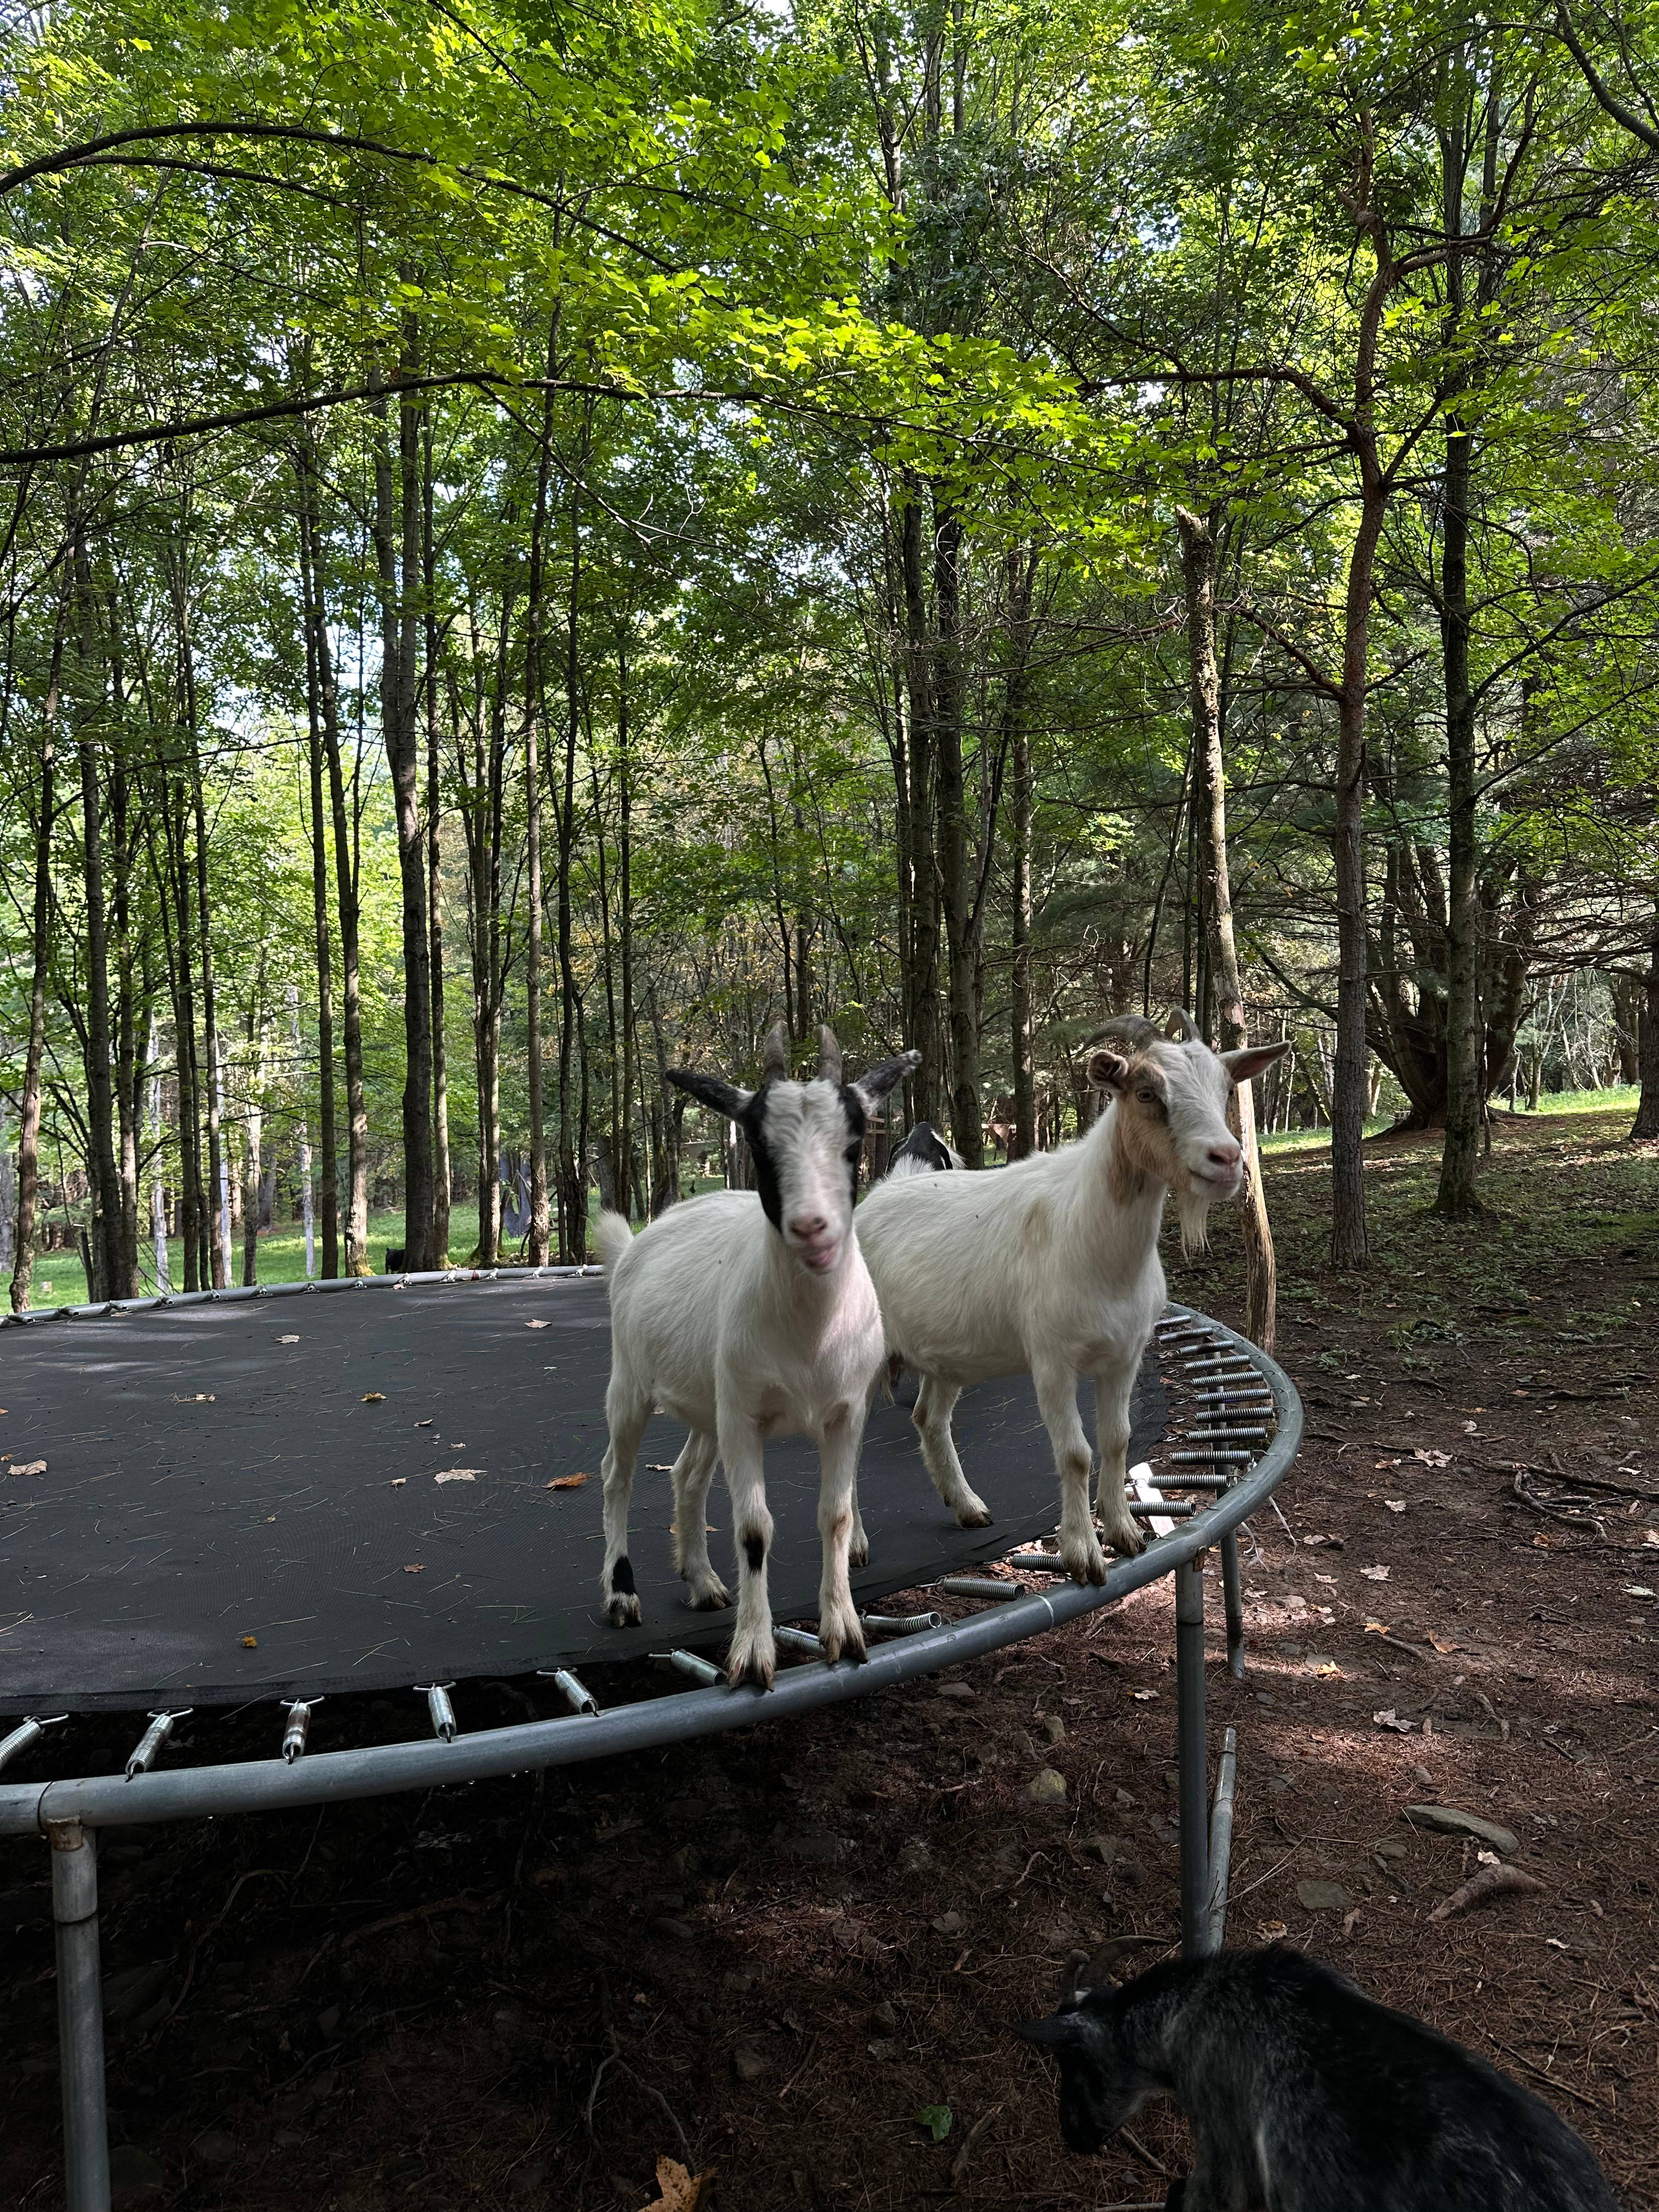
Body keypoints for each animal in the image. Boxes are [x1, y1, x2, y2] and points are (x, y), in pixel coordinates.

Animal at [594, 1022, 918, 1689]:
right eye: (760, 1146)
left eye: (853, 1145)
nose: (813, 1228)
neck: (809, 1337)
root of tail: (640, 1238)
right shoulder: (744, 1418)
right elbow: (753, 1529)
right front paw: (751, 1652)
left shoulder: (844, 1413)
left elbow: (835, 1516)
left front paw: (844, 1633)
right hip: (631, 1383)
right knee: (617, 1473)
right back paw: (621, 1593)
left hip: (708, 1401)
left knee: (688, 1474)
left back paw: (703, 1581)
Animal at [855, 1011, 1287, 1582]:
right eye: (1147, 1092)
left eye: (1224, 1089)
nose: (1227, 1159)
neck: (1096, 1242)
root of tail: (877, 1194)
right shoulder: (1052, 1361)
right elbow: (1076, 1453)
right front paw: (1082, 1553)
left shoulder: (1125, 1355)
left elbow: (1117, 1438)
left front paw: (1125, 1533)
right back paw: (854, 1546)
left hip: (945, 1354)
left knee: (929, 1418)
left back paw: (969, 1507)